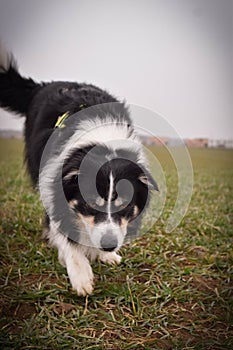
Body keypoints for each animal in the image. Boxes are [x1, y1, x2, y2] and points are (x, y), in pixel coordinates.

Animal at [0, 45, 157, 294]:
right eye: (90, 202)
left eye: (124, 203)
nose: (109, 245)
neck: (102, 142)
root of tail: (44, 85)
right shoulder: (54, 179)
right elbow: (63, 231)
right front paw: (80, 273)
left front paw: (106, 255)